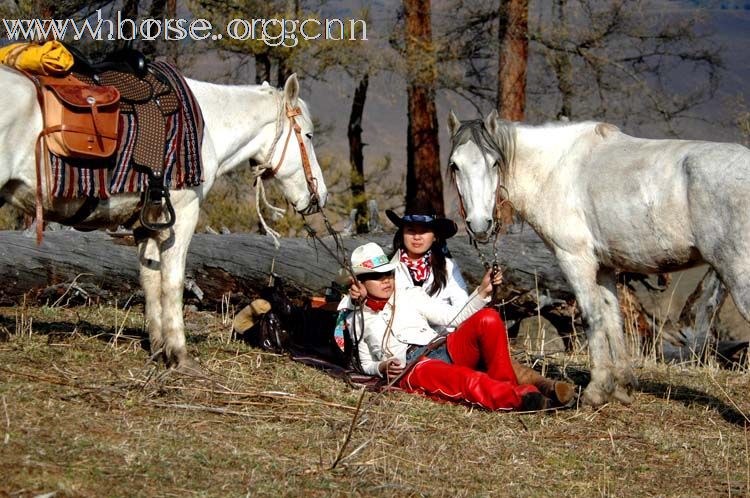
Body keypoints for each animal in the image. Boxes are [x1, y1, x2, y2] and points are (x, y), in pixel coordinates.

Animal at [0, 66, 328, 368]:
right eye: (308, 135)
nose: (320, 195)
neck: (208, 126)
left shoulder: (147, 224)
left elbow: (150, 281)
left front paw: (159, 348)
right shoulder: (182, 214)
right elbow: (172, 282)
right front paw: (179, 354)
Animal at [450, 111, 750, 406]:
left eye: (494, 163)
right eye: (455, 165)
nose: (480, 225)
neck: (553, 170)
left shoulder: (575, 259)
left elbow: (591, 317)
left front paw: (595, 392)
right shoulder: (605, 267)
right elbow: (612, 317)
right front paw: (622, 388)